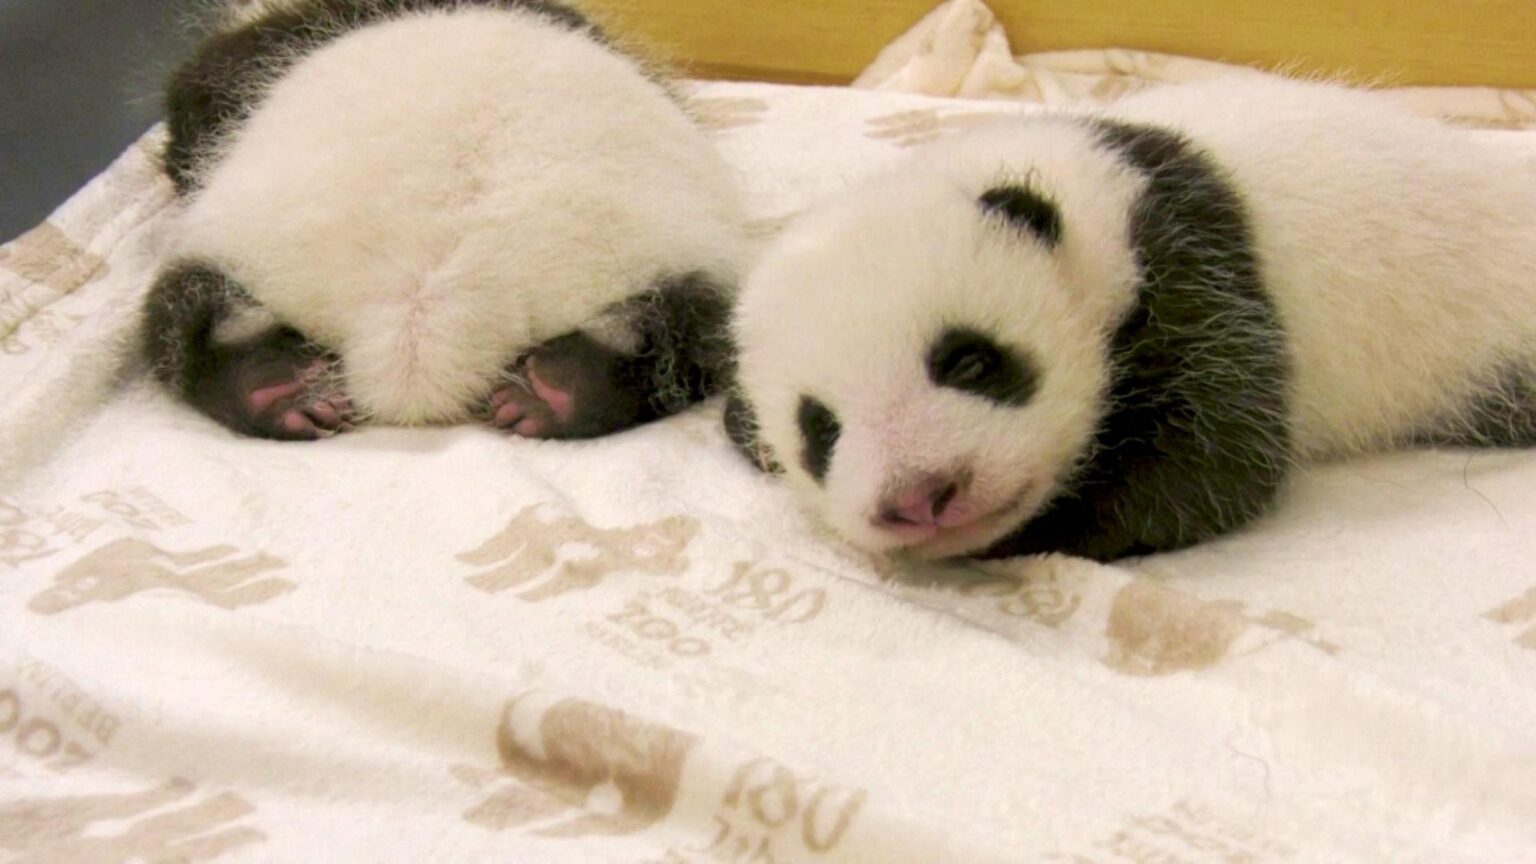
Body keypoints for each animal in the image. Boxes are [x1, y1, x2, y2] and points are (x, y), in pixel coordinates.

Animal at [726, 75, 1536, 563]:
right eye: (820, 430)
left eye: (970, 360)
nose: (921, 497)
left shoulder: (1192, 265)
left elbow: (1218, 463)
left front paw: (1045, 527)